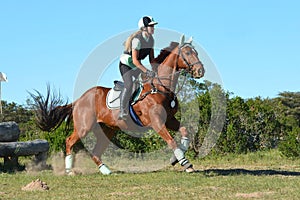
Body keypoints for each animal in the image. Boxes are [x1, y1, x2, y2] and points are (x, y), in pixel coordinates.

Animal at [31, 35, 204, 174]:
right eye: (188, 53)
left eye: (196, 52)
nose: (200, 71)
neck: (160, 87)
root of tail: (79, 100)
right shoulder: (157, 123)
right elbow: (171, 141)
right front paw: (186, 164)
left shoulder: (169, 120)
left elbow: (184, 131)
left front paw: (175, 159)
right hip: (84, 127)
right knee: (69, 141)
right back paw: (69, 171)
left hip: (107, 130)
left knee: (95, 152)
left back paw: (106, 171)